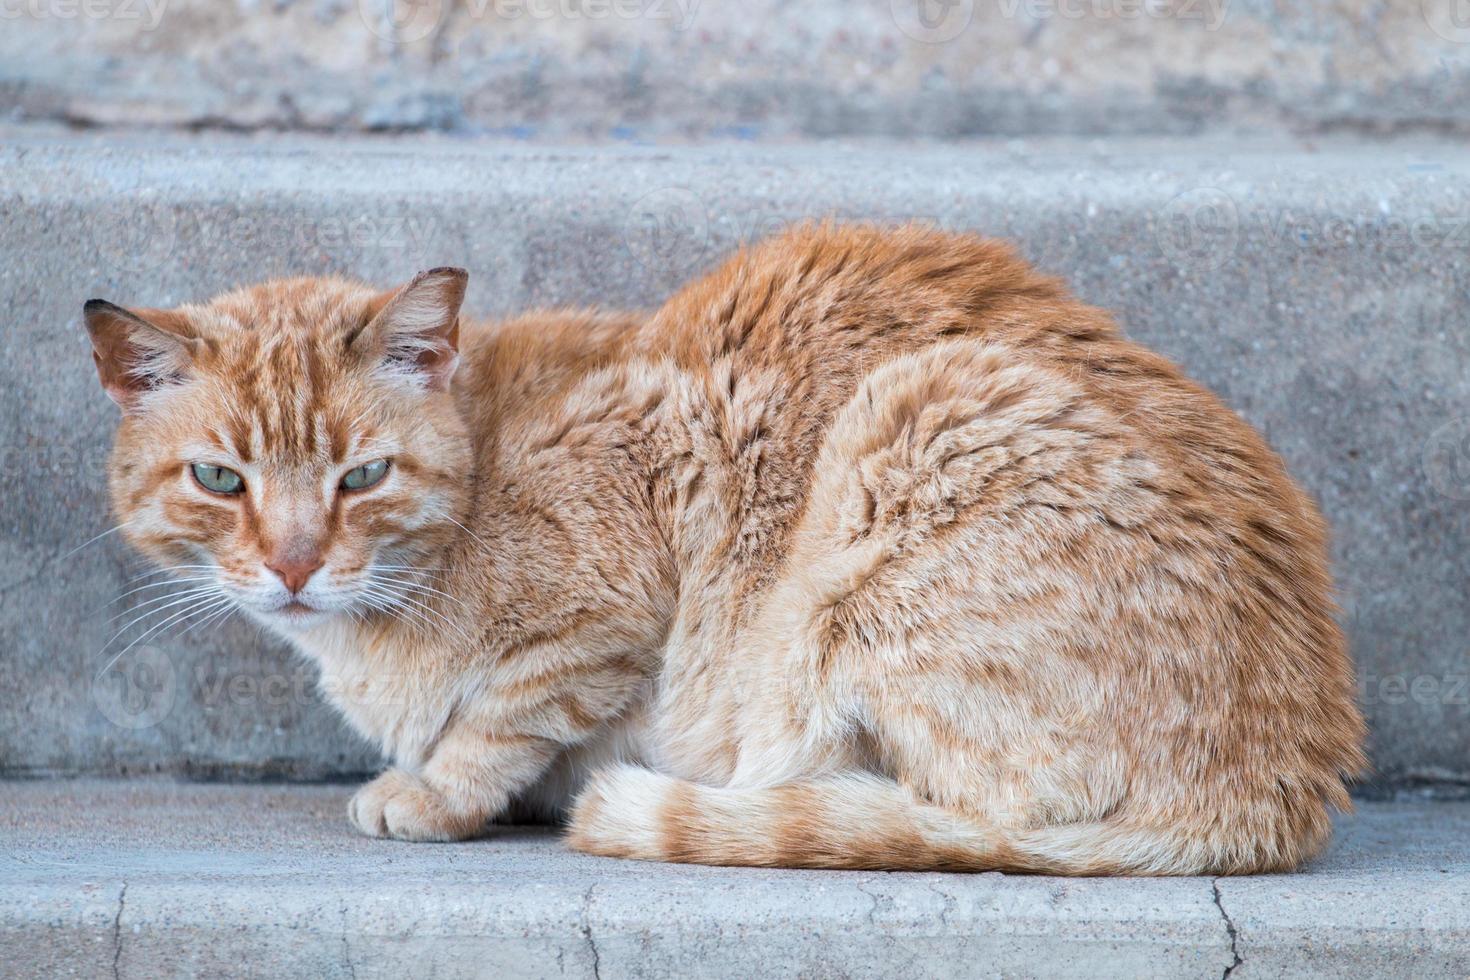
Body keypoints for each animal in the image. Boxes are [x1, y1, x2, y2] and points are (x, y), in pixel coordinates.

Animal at [83, 224, 1364, 875]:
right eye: (220, 480)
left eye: (362, 477)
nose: (295, 566)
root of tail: (1285, 776)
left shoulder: (617, 594)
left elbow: (502, 713)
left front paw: (435, 790)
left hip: (910, 433)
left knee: (969, 815)